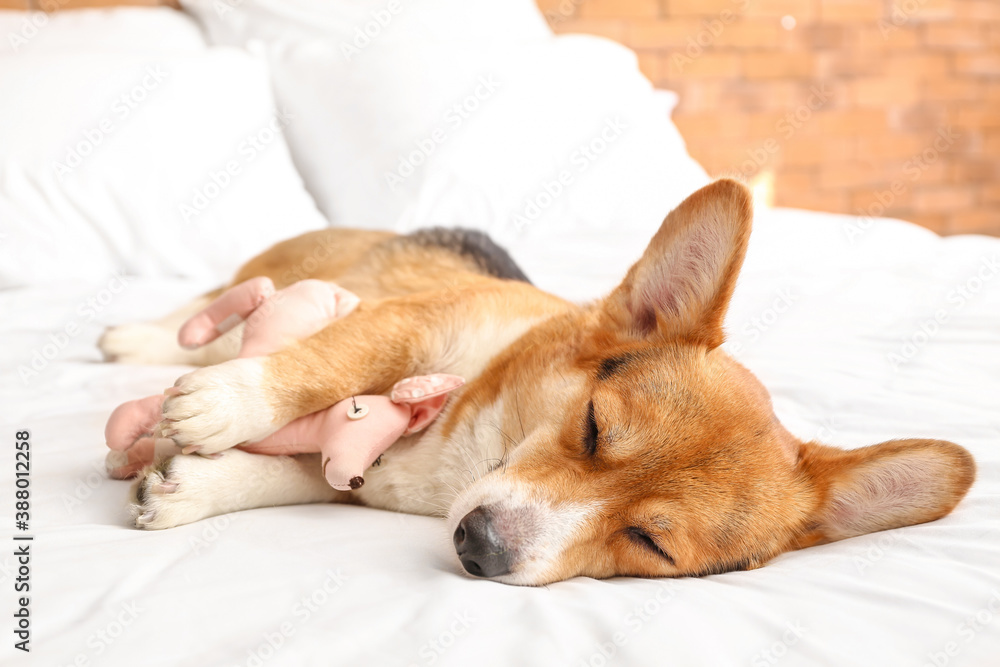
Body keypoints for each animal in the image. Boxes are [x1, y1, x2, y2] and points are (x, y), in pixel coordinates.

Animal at [103, 180, 976, 588]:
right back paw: (135, 339)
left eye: (651, 542)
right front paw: (224, 405)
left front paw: (192, 484)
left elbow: (292, 476)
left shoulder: (356, 473)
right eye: (593, 425)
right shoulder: (406, 326)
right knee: (207, 313)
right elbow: (322, 364)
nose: (480, 547)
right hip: (275, 277)